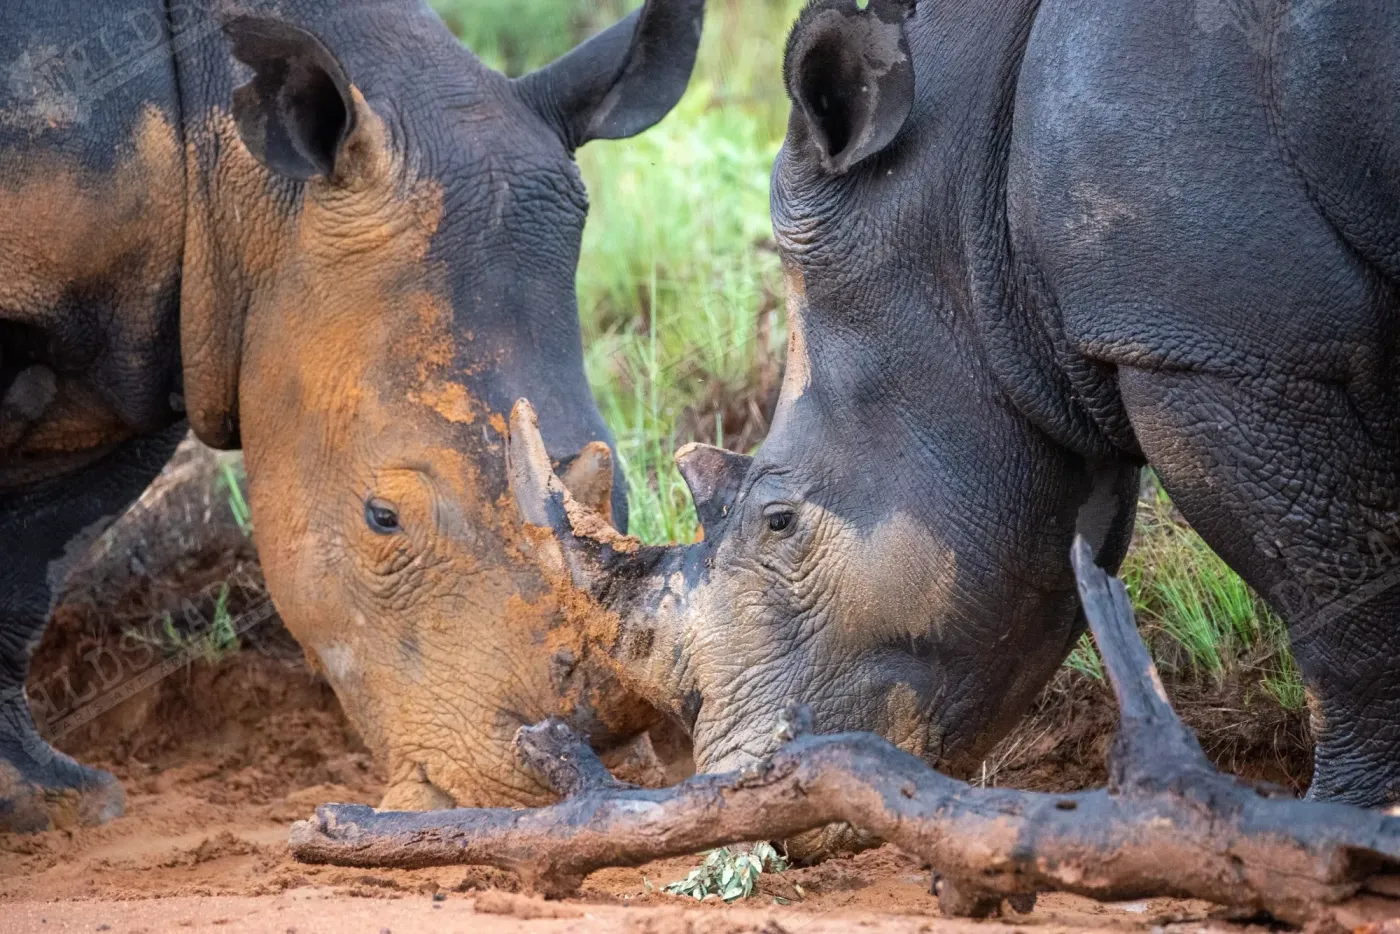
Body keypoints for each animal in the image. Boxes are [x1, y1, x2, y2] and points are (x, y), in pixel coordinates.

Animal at [0, 0, 703, 832]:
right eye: (381, 518)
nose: (606, 772)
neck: (251, 184)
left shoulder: (159, 339)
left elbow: (29, 556)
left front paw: (48, 802)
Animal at [510, 0, 1400, 818]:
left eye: (779, 521)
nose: (731, 784)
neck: (964, 198)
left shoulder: (1216, 346)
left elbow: (1335, 598)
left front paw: (1350, 816)